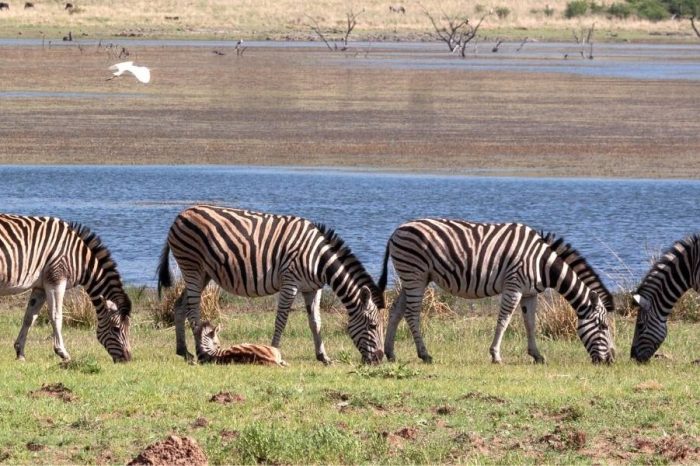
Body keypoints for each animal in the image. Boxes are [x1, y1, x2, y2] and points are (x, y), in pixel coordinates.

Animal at [0, 213, 132, 362]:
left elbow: (29, 317)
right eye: (116, 329)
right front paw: (62, 352)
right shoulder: (56, 281)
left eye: (128, 328)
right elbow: (56, 317)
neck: (79, 259)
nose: (128, 359)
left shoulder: (40, 287)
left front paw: (20, 352)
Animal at [157, 205, 386, 364]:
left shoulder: (312, 288)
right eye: (373, 326)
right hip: (192, 267)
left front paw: (323, 357)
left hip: (203, 273)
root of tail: (181, 214)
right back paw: (200, 352)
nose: (379, 359)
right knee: (193, 310)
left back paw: (183, 351)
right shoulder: (290, 282)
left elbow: (316, 322)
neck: (319, 260)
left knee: (179, 305)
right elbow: (281, 319)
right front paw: (275, 350)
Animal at [380, 218, 616, 364]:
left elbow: (530, 323)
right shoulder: (514, 286)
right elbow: (504, 320)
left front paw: (537, 355)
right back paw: (424, 354)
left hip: (413, 277)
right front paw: (495, 355)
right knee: (411, 313)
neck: (542, 263)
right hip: (415, 274)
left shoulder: (530, 293)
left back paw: (390, 352)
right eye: (603, 326)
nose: (611, 360)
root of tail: (396, 230)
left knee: (396, 310)